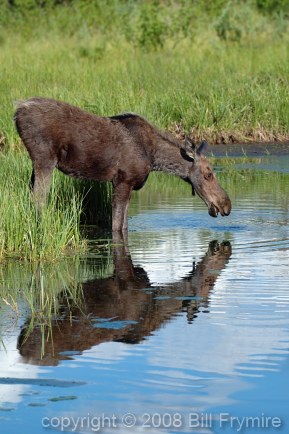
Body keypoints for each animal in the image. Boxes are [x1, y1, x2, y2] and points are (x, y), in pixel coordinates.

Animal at [13, 97, 231, 232]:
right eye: (208, 174)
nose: (226, 205)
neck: (154, 157)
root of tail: (16, 111)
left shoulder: (128, 185)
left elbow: (124, 223)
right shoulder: (123, 180)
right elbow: (117, 226)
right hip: (44, 159)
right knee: (39, 197)